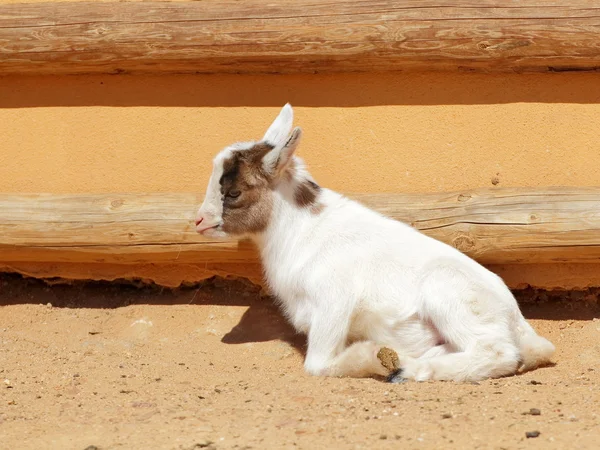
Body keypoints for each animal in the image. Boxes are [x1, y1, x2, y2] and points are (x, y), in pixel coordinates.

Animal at [195, 105, 556, 384]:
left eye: (233, 192)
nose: (199, 221)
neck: (303, 229)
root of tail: (514, 316)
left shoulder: (334, 301)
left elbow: (318, 365)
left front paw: (368, 356)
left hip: (450, 294)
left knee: (499, 353)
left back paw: (409, 368)